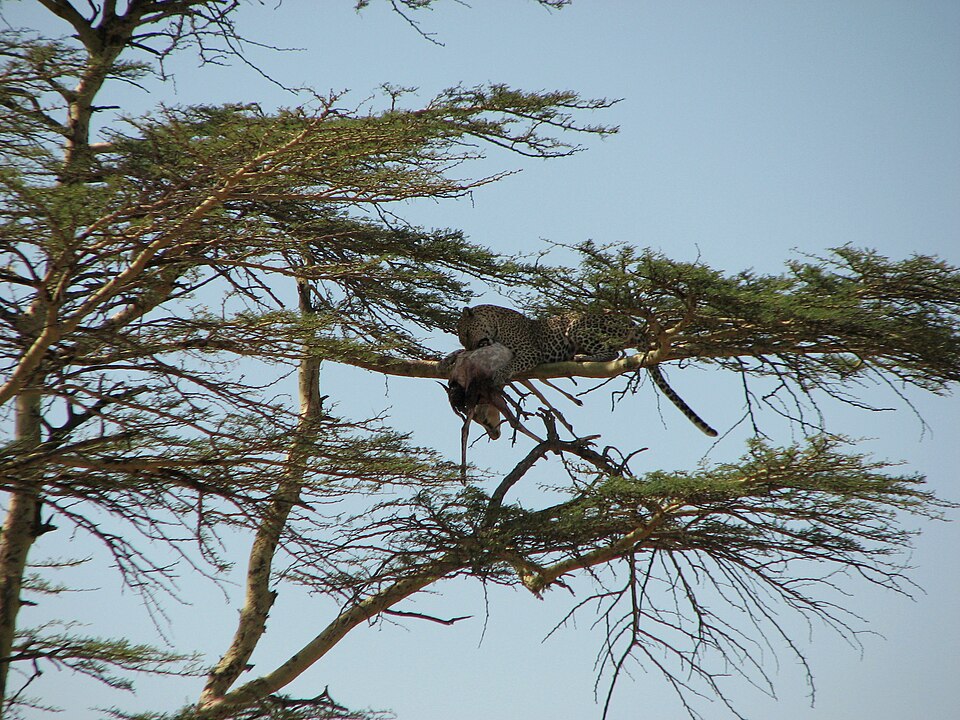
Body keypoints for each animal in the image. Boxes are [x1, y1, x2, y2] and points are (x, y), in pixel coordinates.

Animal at [455, 304, 718, 437]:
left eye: (465, 333)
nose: (468, 349)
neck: (495, 322)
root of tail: (630, 323)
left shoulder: (531, 352)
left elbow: (512, 363)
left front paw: (500, 374)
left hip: (578, 326)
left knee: (612, 354)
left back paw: (582, 356)